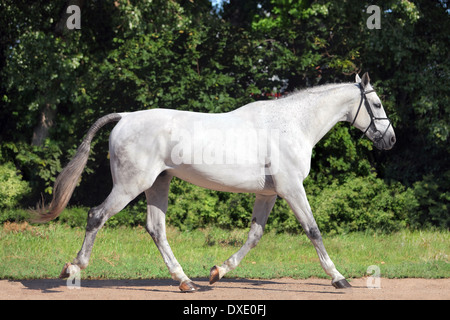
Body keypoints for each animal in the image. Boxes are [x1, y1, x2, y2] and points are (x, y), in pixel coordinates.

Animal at [34, 72, 394, 290]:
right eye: (376, 103)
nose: (390, 139)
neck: (292, 124)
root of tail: (125, 117)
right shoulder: (292, 189)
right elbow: (314, 231)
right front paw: (339, 278)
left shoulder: (269, 194)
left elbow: (254, 236)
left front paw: (217, 272)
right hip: (129, 186)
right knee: (97, 216)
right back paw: (73, 270)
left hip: (158, 184)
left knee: (156, 229)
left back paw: (185, 281)